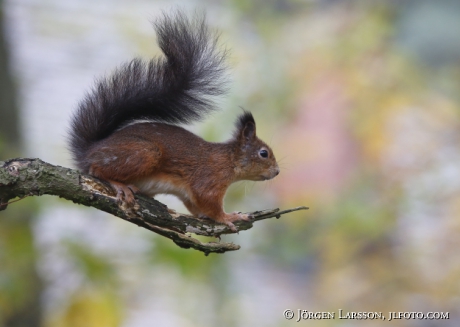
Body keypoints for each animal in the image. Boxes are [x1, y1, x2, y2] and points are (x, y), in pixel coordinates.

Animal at [68, 10, 280, 231]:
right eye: (263, 153)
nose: (277, 172)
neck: (229, 160)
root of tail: (89, 151)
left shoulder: (189, 194)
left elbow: (197, 207)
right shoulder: (209, 179)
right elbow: (210, 203)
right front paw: (228, 217)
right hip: (144, 152)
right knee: (96, 169)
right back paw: (120, 185)